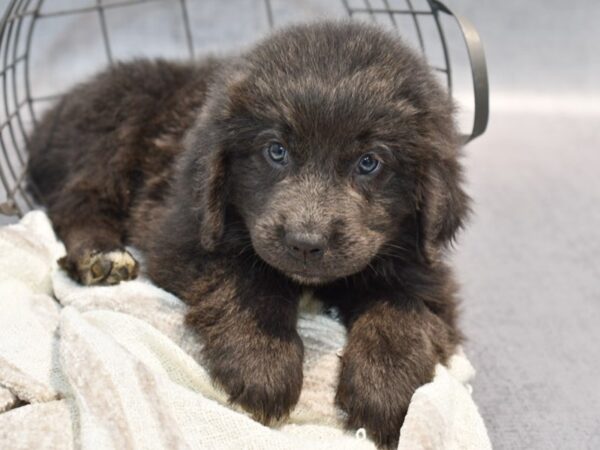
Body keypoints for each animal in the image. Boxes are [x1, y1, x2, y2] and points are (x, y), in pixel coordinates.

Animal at [27, 22, 468, 450]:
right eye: (276, 151)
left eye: (369, 162)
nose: (305, 242)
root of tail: (52, 113)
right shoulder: (179, 231)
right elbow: (252, 277)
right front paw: (263, 363)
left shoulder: (421, 265)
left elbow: (402, 307)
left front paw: (385, 386)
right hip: (114, 129)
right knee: (78, 201)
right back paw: (101, 256)